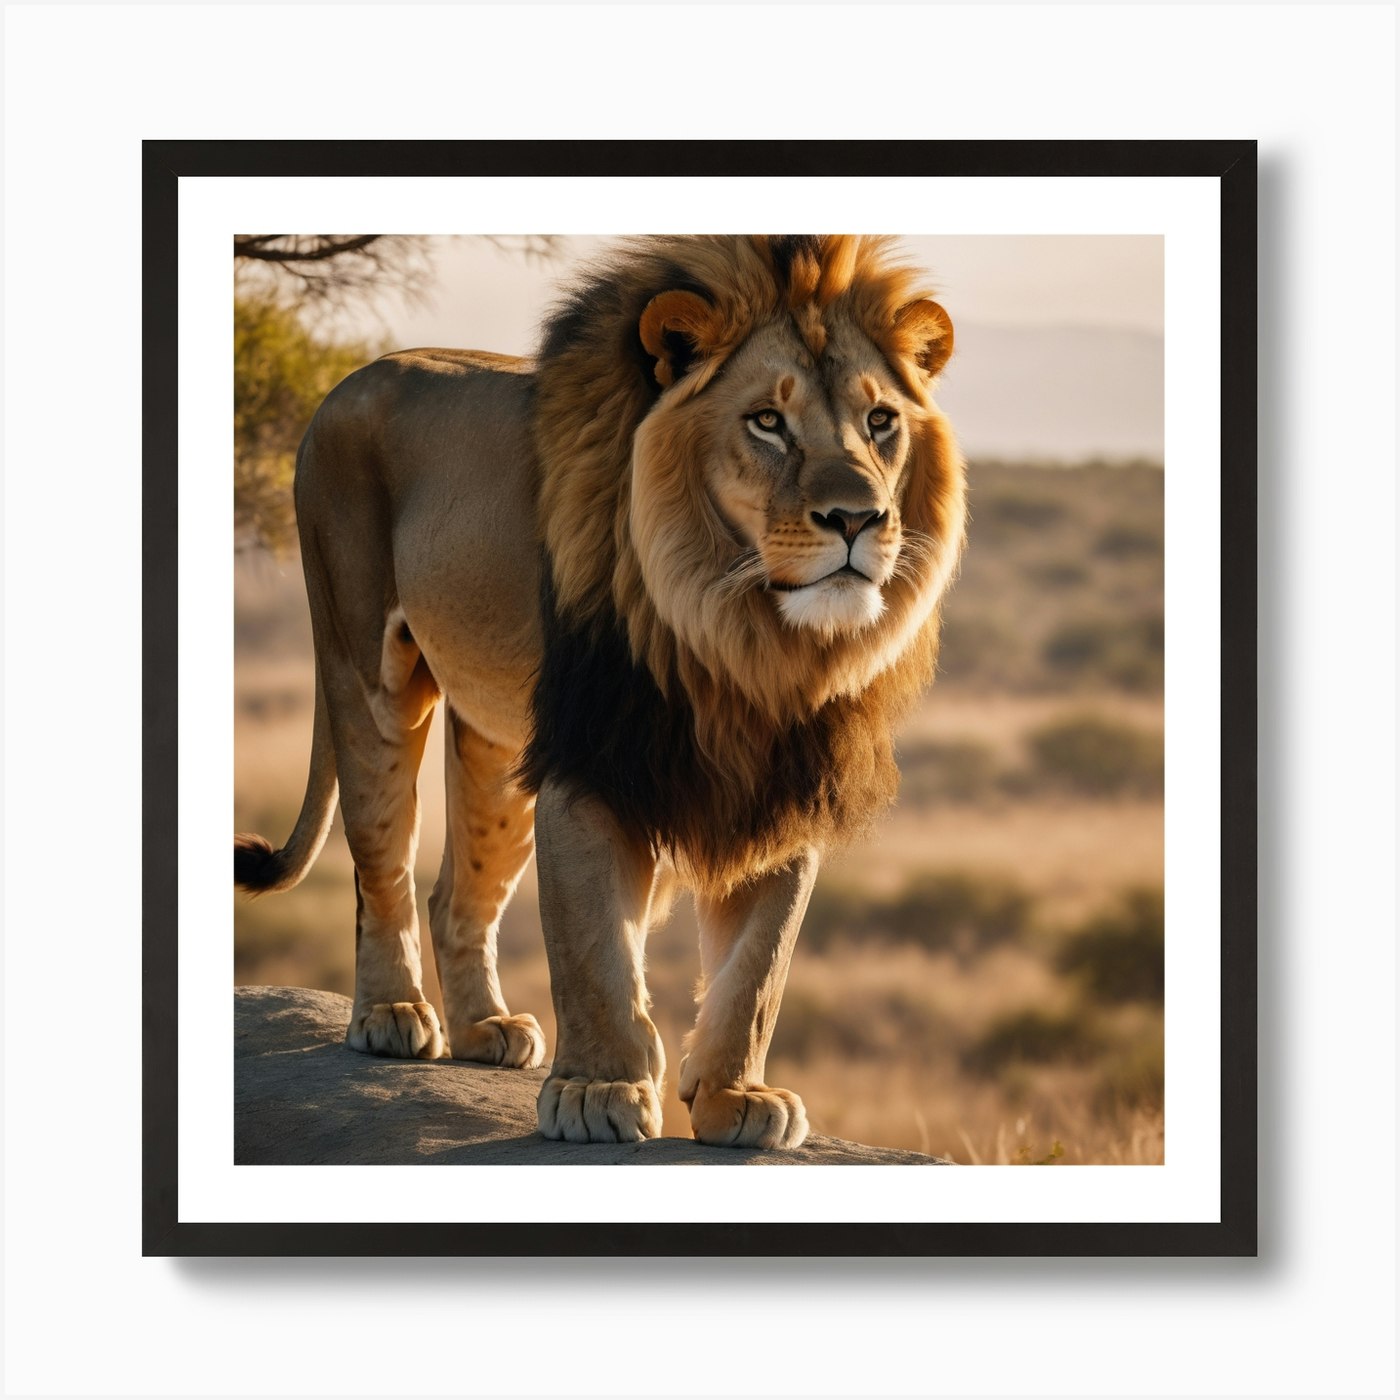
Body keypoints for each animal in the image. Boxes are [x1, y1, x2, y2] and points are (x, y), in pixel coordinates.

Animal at [234, 234, 966, 1150]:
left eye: (880, 422)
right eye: (767, 421)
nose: (858, 519)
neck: (746, 640)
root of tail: (348, 380)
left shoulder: (787, 784)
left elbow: (759, 966)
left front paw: (736, 1096)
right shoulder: (591, 758)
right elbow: (593, 946)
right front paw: (599, 1090)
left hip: (498, 740)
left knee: (455, 891)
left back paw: (483, 1029)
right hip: (366, 666)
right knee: (383, 864)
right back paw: (392, 1015)